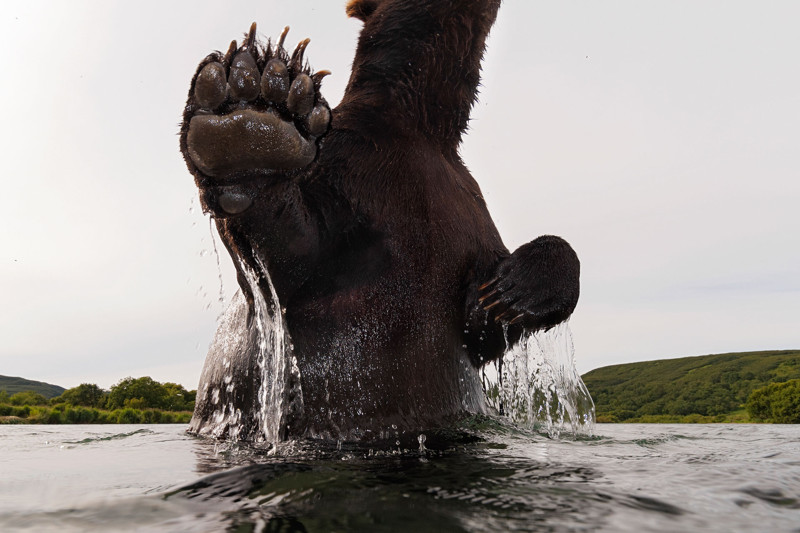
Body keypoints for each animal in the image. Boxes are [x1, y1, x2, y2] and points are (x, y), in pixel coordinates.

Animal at [180, 0, 580, 440]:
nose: (508, 290)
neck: (421, 124)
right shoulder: (345, 157)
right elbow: (288, 263)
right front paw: (255, 122)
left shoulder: (467, 211)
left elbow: (480, 325)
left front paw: (510, 292)